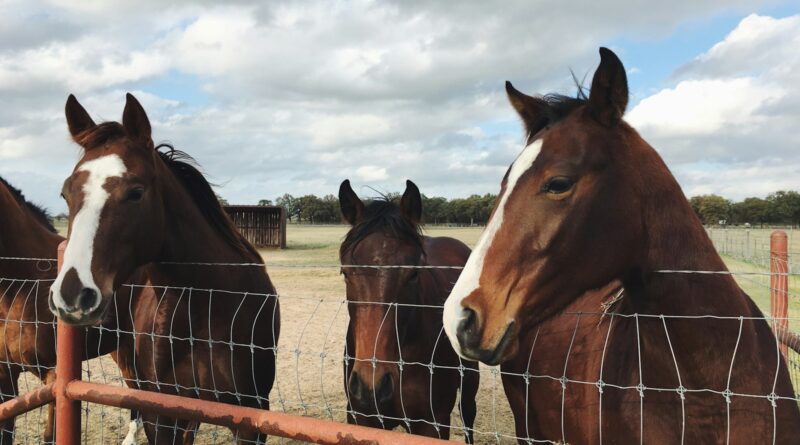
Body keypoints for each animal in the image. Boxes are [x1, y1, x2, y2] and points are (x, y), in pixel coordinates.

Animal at [50, 92, 282, 442]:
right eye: (66, 193)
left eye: (136, 192)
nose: (73, 295)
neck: (207, 306)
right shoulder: (161, 414)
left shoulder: (250, 418)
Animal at [336, 180, 476, 440]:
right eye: (346, 273)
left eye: (413, 274)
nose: (372, 385)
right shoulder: (361, 419)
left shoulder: (433, 424)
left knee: (468, 414)